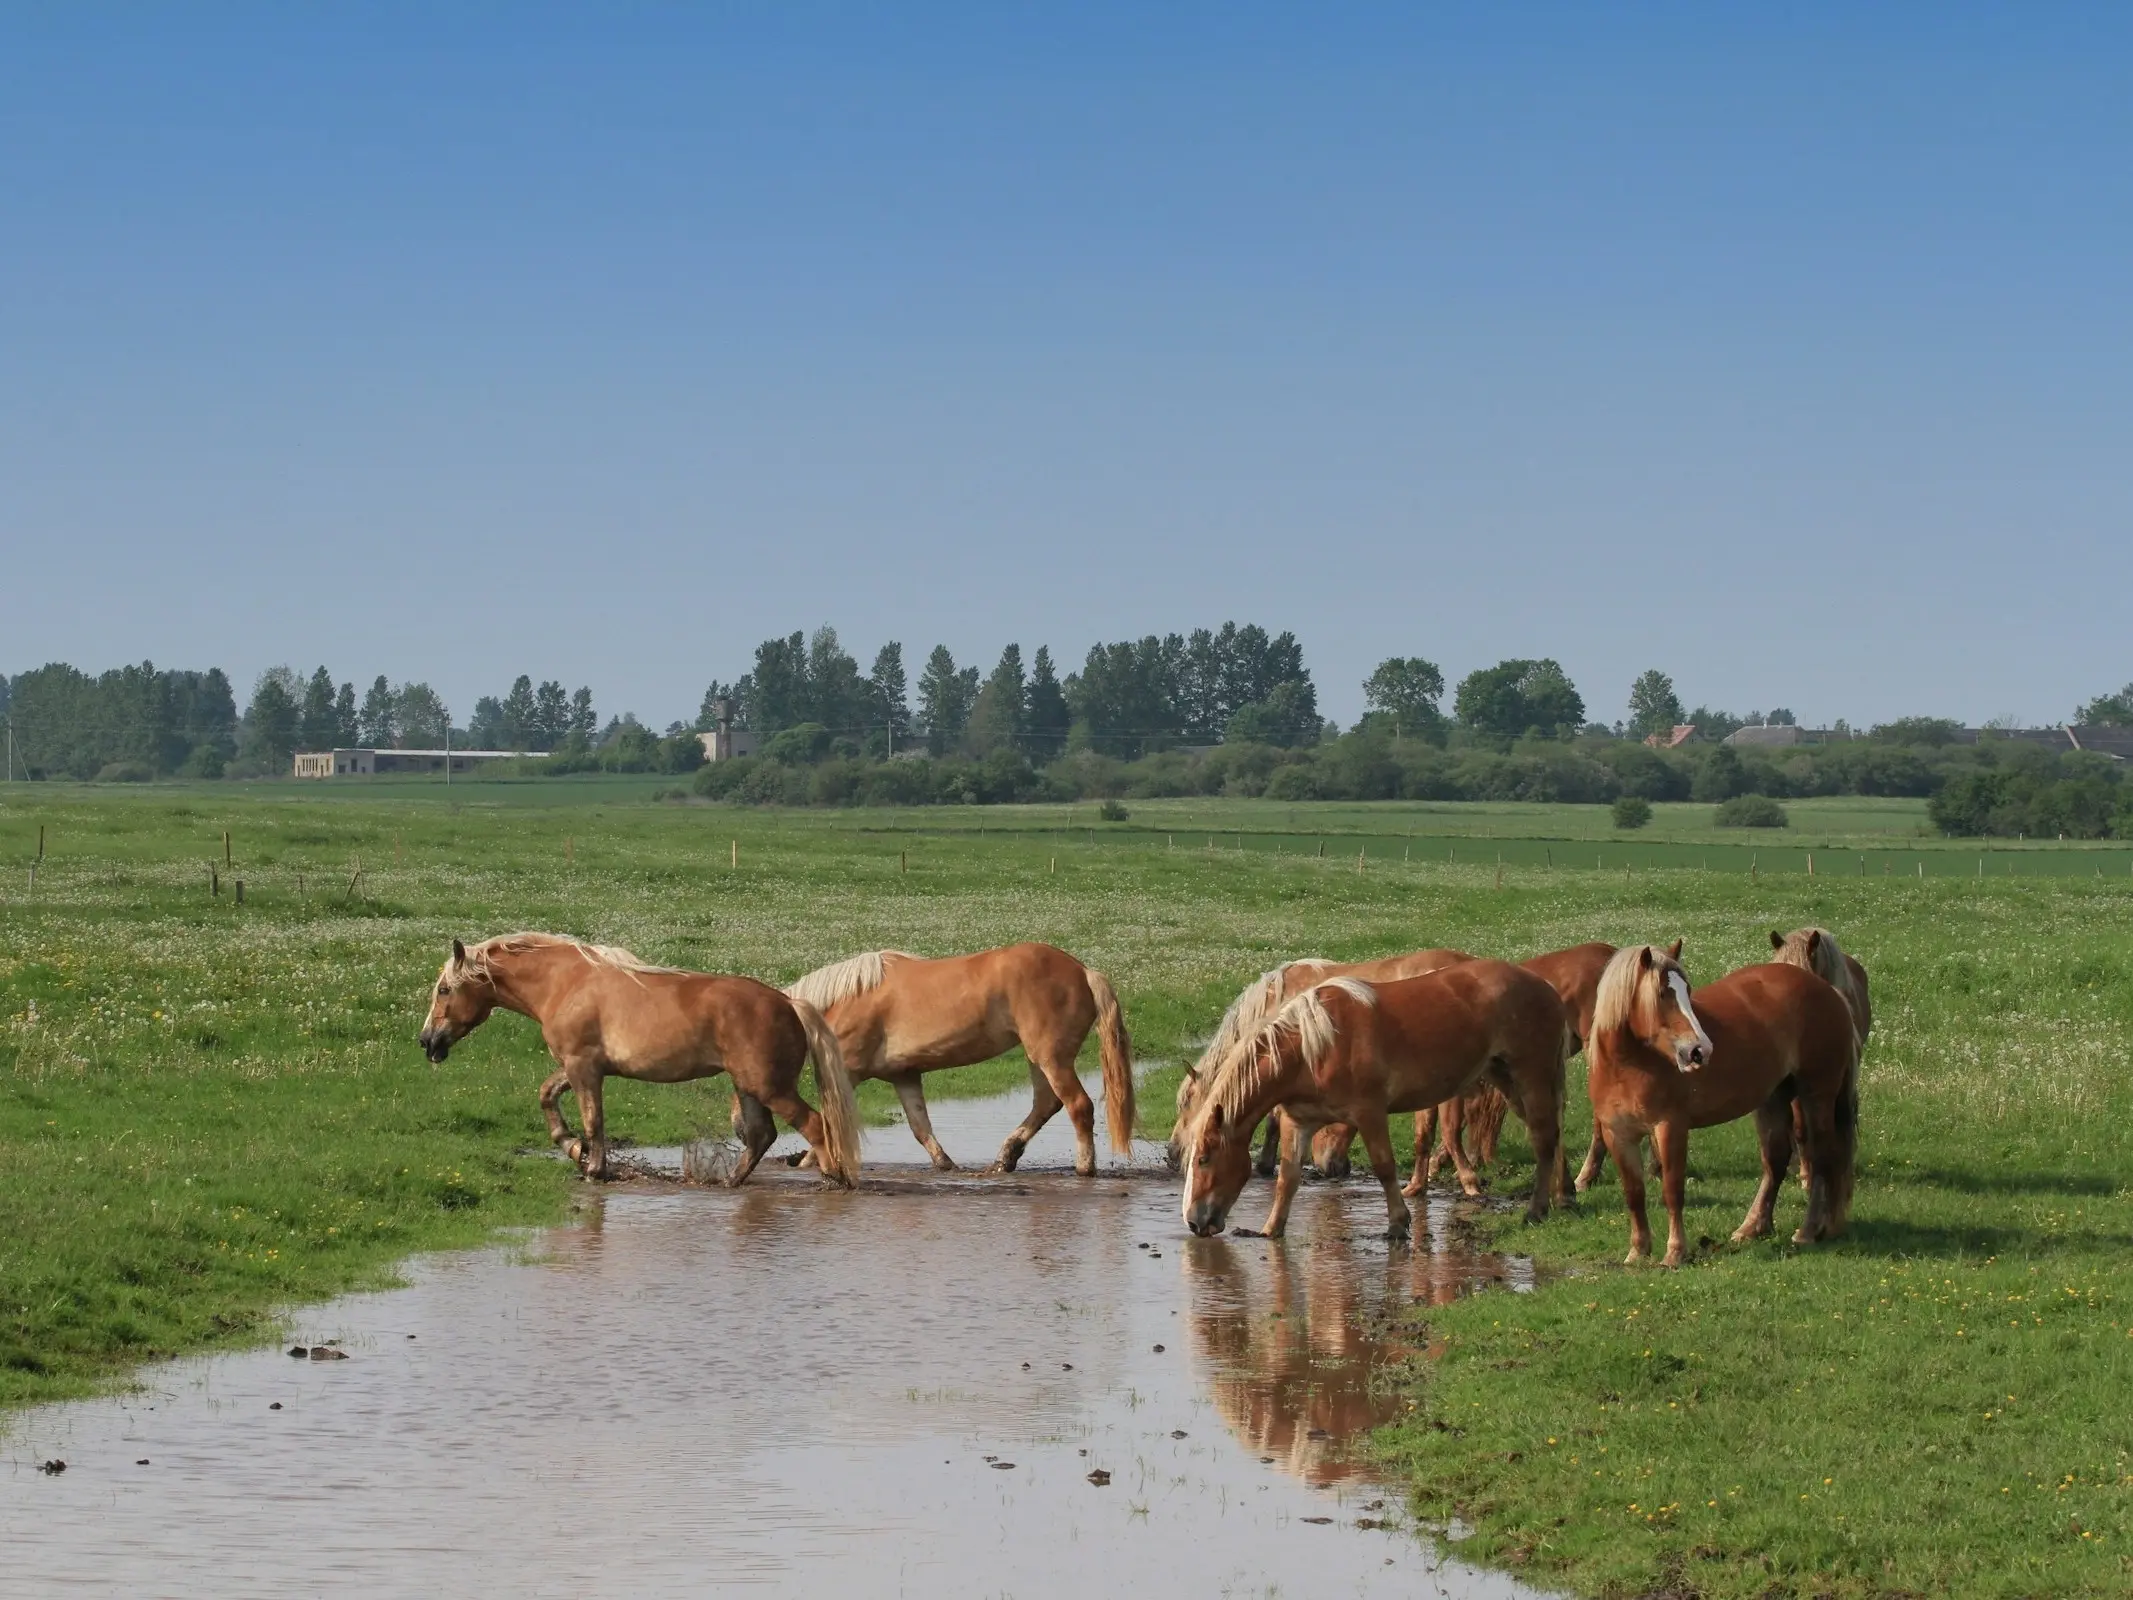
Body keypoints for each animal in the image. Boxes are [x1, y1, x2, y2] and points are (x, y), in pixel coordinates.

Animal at [415, 934, 857, 1186]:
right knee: (762, 1135)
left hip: (771, 1087)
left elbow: (593, 1121)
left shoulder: (583, 1068)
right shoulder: (579, 1067)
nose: (426, 1041)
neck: (566, 983)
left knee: (815, 1125)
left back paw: (835, 1179)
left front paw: (593, 1168)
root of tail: (788, 1002)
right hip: (748, 1086)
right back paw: (730, 1181)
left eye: (444, 990)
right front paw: (572, 1149)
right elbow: (548, 1096)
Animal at [784, 938, 1134, 1177]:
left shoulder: (848, 1072)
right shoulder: (904, 1076)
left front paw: (808, 1160)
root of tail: (1084, 972)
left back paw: (1084, 1167)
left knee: (1078, 1106)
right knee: (1046, 1105)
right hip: (1038, 1059)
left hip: (1051, 1058)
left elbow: (829, 1120)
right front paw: (945, 1164)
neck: (848, 998)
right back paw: (1005, 1158)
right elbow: (920, 1127)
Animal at [1185, 960, 1569, 1245]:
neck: (1312, 1048)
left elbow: (1384, 1167)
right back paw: (1561, 1197)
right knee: (1551, 1135)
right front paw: (1270, 1229)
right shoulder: (1299, 1121)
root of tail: (1545, 987)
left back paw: (1536, 1209)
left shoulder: (1369, 1114)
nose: (1193, 1221)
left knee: (1543, 1138)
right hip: (1507, 1082)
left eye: (1204, 1159)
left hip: (1530, 1077)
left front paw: (1398, 1224)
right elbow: (1288, 1177)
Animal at [1578, 947, 1859, 1271]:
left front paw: (1675, 1252)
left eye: (1687, 990)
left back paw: (1808, 1231)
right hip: (1773, 1098)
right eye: (1662, 993)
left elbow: (1672, 1190)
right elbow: (1634, 1193)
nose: (1699, 1050)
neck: (1628, 1065)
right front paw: (1637, 1251)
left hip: (1816, 1096)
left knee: (1821, 1158)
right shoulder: (1618, 1135)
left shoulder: (1670, 1128)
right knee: (1775, 1160)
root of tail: (1829, 991)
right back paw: (1753, 1228)